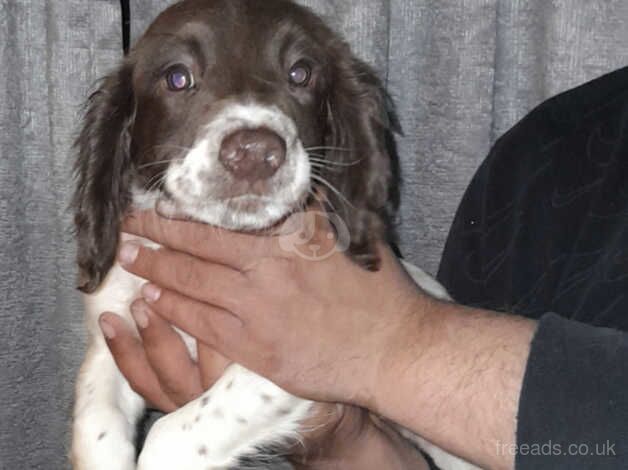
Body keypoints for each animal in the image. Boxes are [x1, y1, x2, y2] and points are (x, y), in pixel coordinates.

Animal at [71, 0, 478, 470]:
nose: (254, 152)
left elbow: (170, 435)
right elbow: (95, 423)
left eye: (300, 73)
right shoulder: (111, 338)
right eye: (177, 77)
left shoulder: (300, 353)